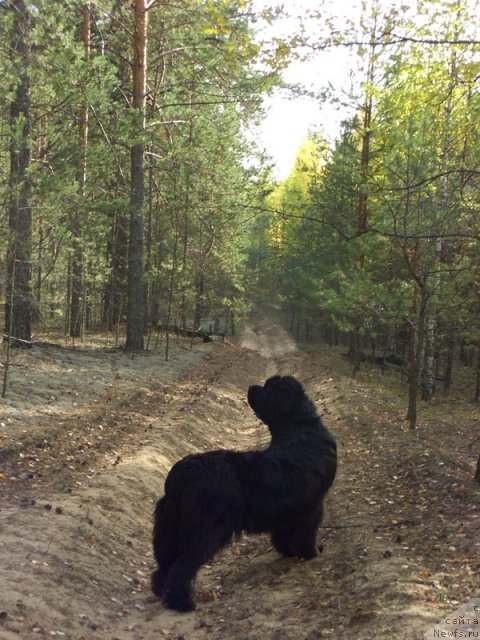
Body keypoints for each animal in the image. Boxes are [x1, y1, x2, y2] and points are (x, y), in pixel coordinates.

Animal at [152, 378, 336, 612]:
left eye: (269, 388)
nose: (251, 387)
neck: (300, 428)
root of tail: (179, 475)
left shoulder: (286, 510)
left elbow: (283, 534)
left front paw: (290, 551)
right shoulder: (312, 506)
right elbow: (307, 534)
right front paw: (312, 553)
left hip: (171, 528)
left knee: (166, 564)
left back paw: (161, 592)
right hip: (205, 529)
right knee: (183, 565)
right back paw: (181, 603)